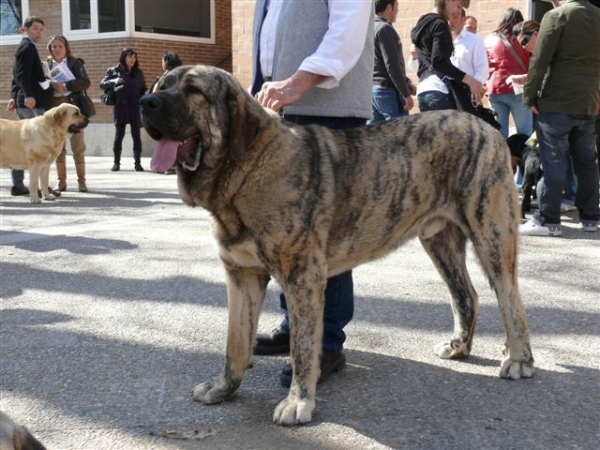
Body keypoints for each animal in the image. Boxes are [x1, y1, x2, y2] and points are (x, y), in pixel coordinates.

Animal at [141, 64, 536, 426]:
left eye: (194, 91)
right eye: (162, 85)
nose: (146, 102)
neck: (244, 170)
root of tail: (485, 127)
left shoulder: (302, 279)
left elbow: (303, 348)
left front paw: (298, 402)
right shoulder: (242, 276)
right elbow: (235, 342)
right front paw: (223, 388)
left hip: (491, 234)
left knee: (510, 298)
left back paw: (519, 358)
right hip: (439, 240)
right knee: (466, 295)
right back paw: (459, 347)